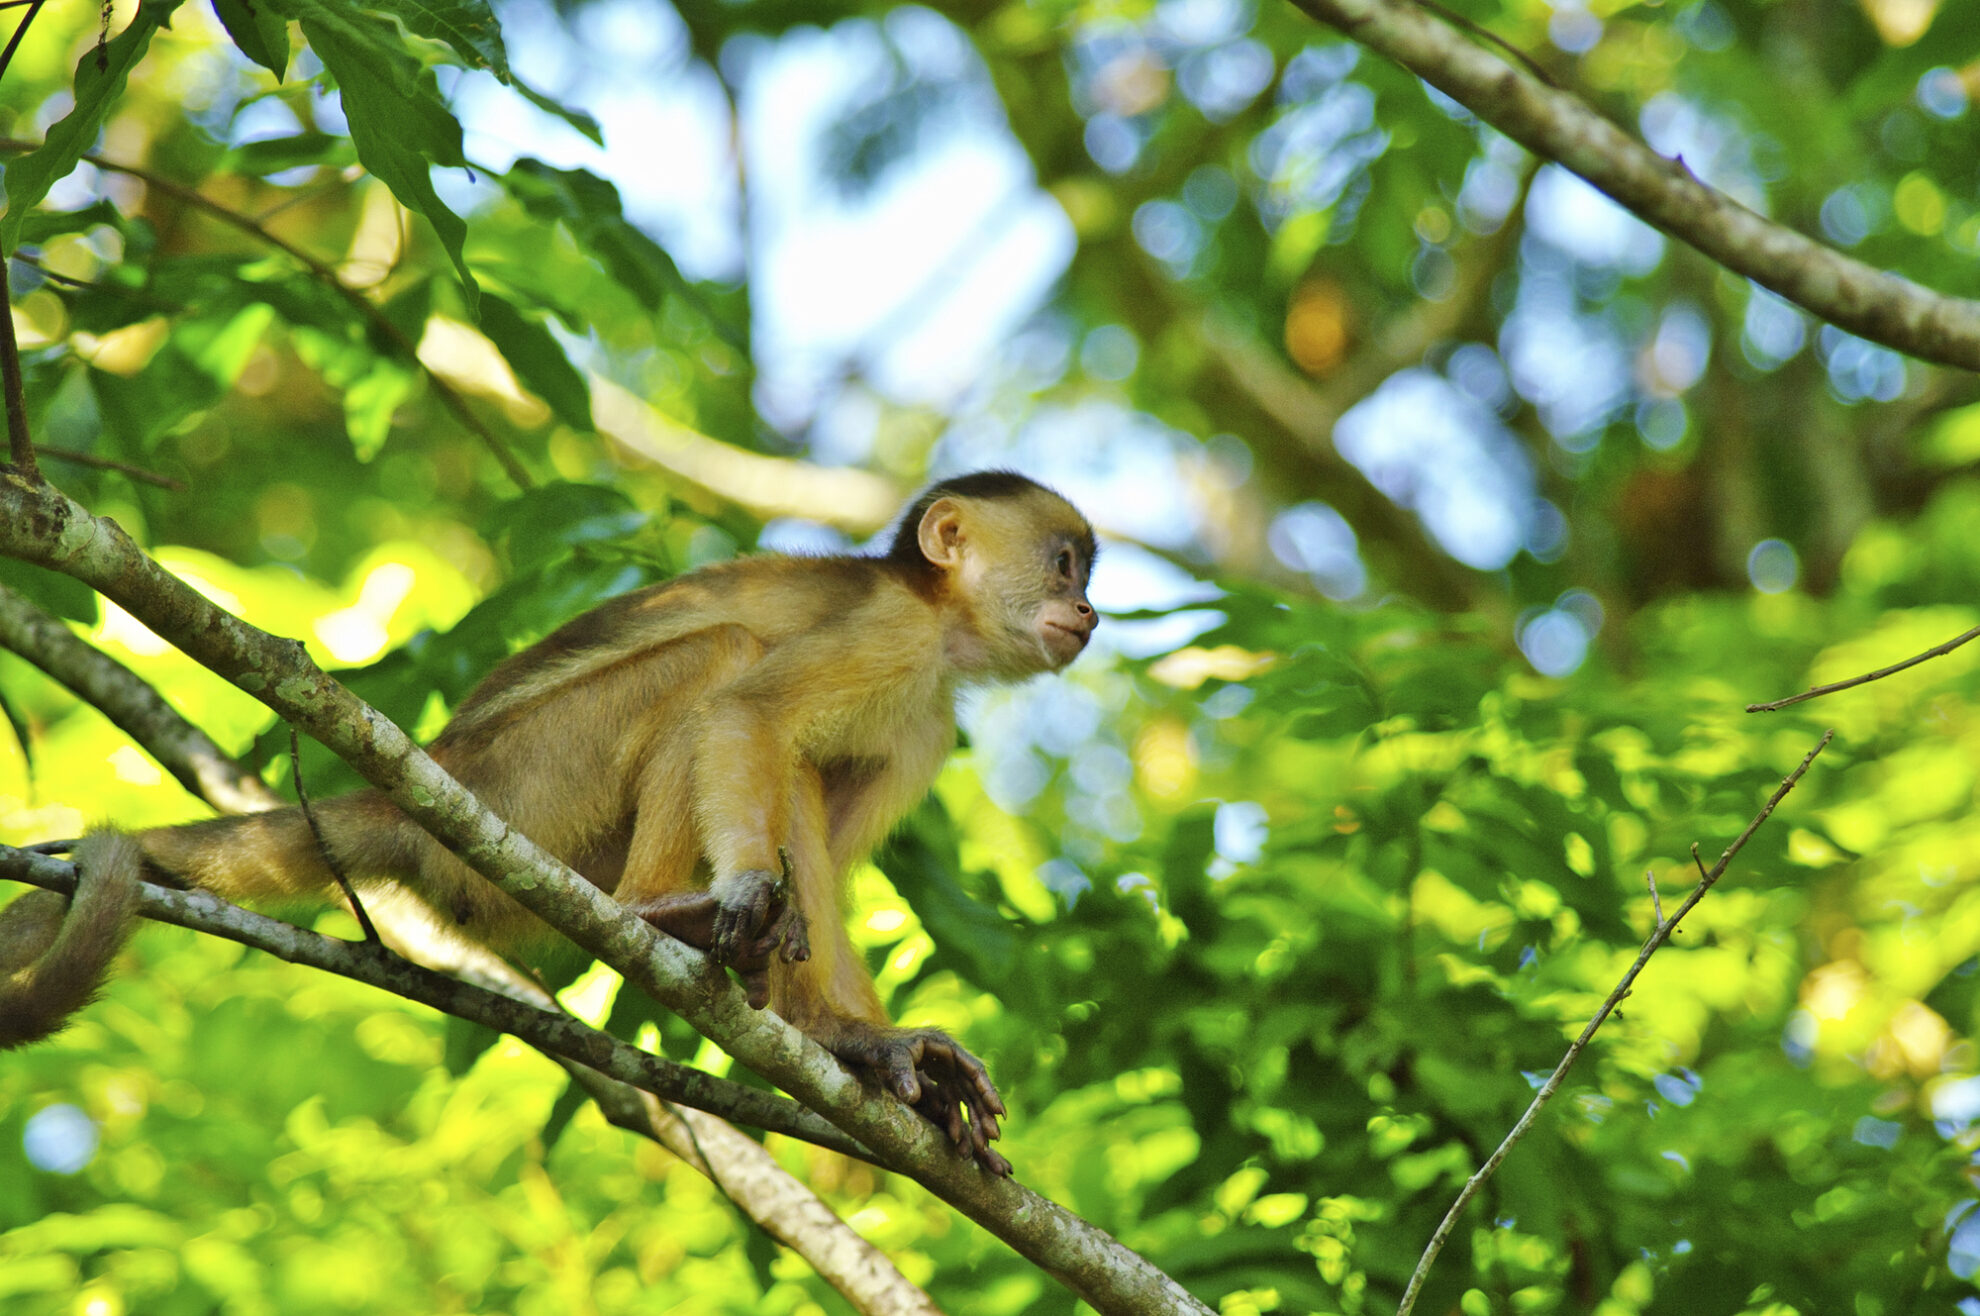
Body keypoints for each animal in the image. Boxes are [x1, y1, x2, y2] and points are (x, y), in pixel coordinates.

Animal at [0, 470, 1097, 1174]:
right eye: (1064, 564)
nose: (1090, 613)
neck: (938, 622)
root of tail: (426, 783)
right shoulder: (893, 634)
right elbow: (748, 717)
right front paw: (750, 896)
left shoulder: (926, 719)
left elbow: (820, 843)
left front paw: (858, 1043)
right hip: (526, 780)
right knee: (718, 661)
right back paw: (658, 907)